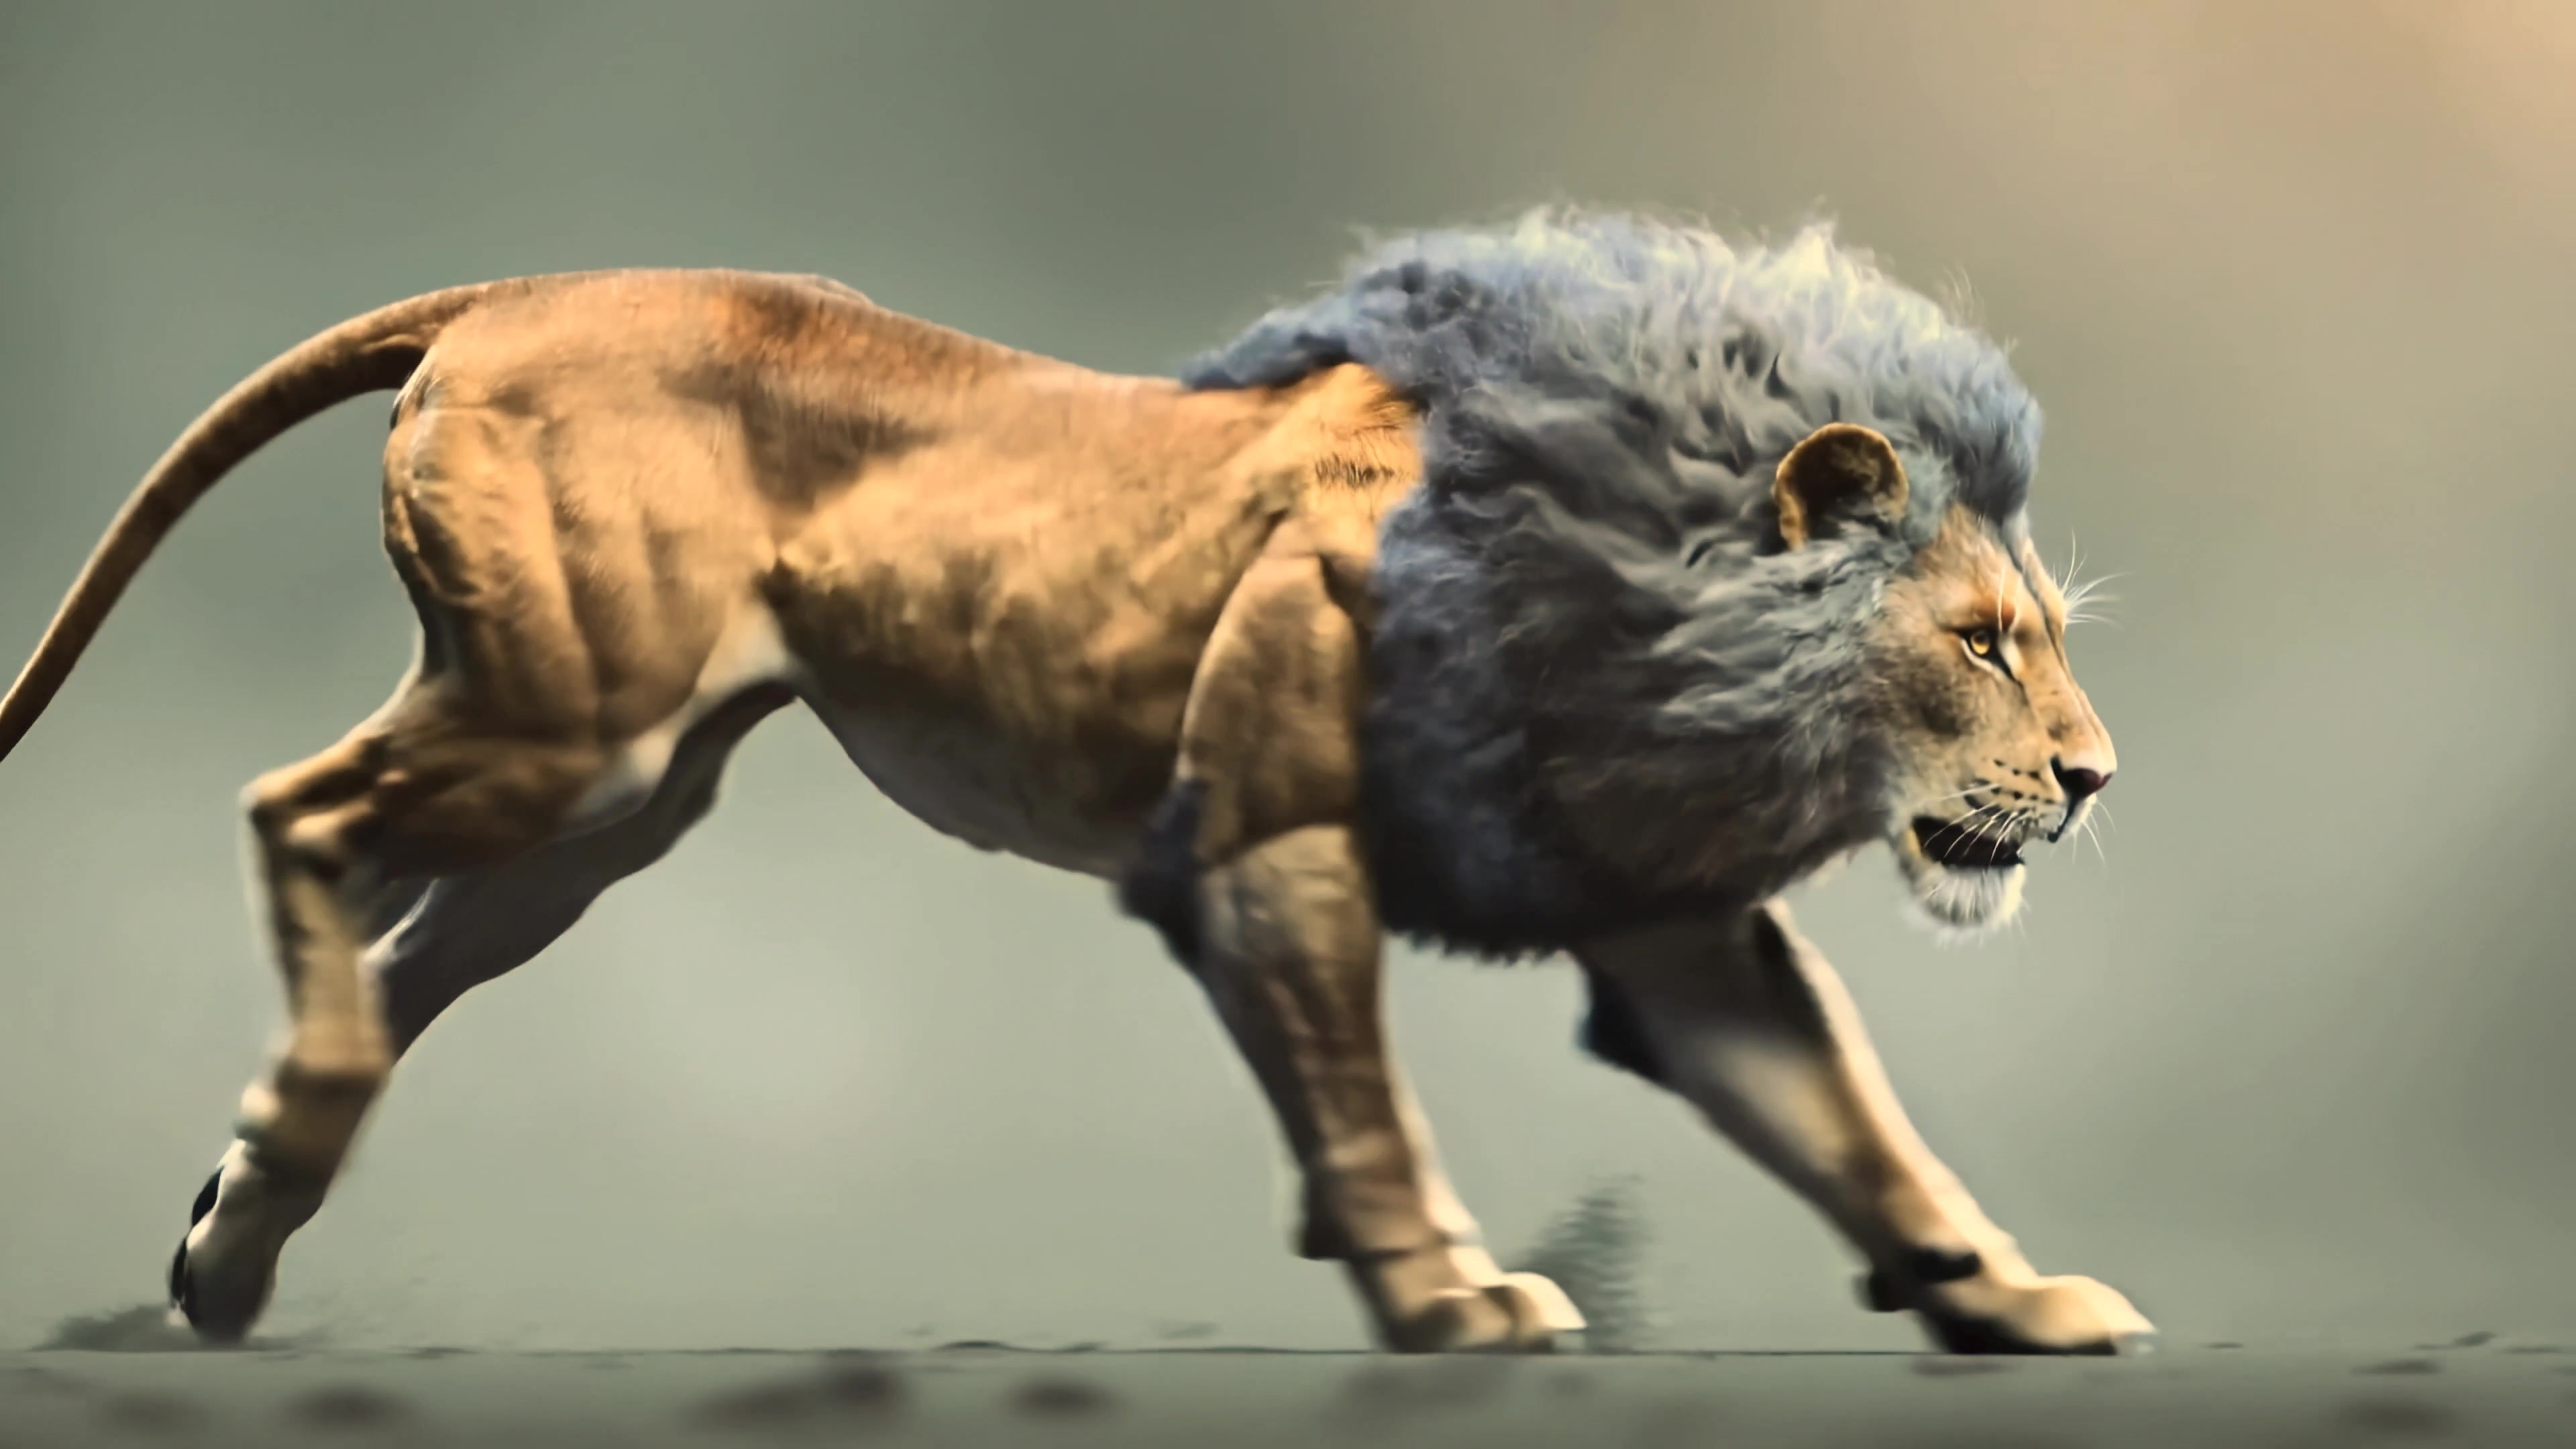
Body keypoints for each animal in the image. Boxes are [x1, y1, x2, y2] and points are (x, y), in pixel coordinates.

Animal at [0, 210, 2148, 1356]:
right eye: (1980, 641)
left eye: (2039, 629)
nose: (2098, 779)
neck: (1646, 568)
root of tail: (503, 293)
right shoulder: (1272, 845)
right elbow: (1370, 1111)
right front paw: (1451, 1302)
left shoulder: (1664, 913)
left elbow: (1858, 1126)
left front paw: (2016, 1302)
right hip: (572, 724)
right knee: (293, 814)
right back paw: (279, 1149)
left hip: (608, 803)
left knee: (384, 913)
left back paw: (232, 1223)